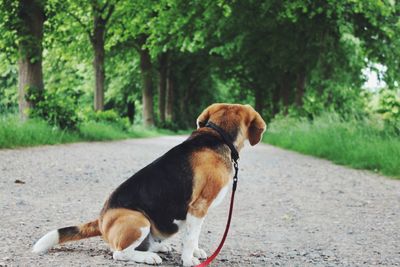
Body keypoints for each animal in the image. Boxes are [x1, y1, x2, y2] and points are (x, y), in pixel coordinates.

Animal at [32, 103, 268, 266]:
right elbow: (191, 237)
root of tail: (101, 220)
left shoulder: (197, 213)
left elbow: (193, 236)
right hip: (138, 220)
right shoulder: (198, 207)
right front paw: (189, 260)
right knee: (119, 253)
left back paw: (158, 248)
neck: (218, 136)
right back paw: (149, 257)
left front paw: (195, 252)